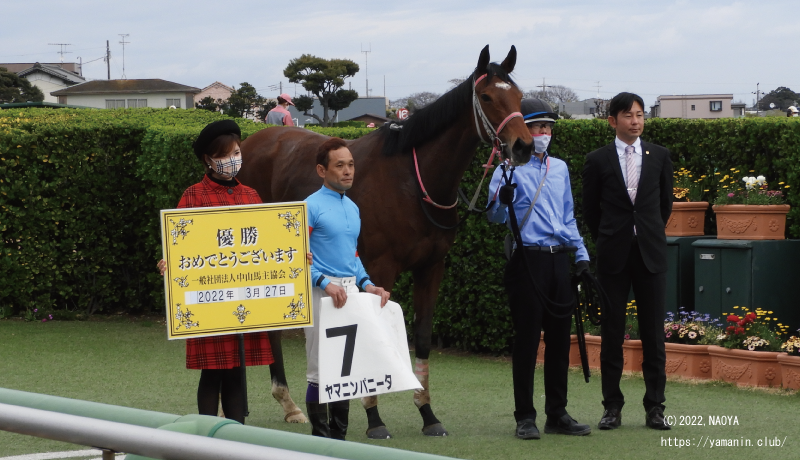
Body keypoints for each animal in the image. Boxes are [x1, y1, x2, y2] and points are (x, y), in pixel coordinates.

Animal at [238, 45, 532, 437]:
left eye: (517, 95)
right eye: (486, 96)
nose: (524, 146)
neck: (412, 182)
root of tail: (251, 143)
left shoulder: (431, 267)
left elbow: (422, 336)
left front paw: (428, 414)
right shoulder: (381, 266)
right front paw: (374, 419)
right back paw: (288, 400)